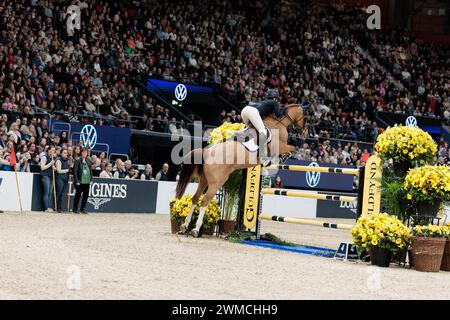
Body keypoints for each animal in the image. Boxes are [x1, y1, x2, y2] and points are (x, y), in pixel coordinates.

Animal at [173, 104, 306, 236]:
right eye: (305, 117)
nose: (304, 133)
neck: (279, 123)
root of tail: (206, 152)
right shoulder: (280, 146)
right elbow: (292, 148)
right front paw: (285, 157)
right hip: (216, 183)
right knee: (205, 201)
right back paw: (195, 229)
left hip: (204, 180)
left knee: (195, 198)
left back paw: (184, 226)